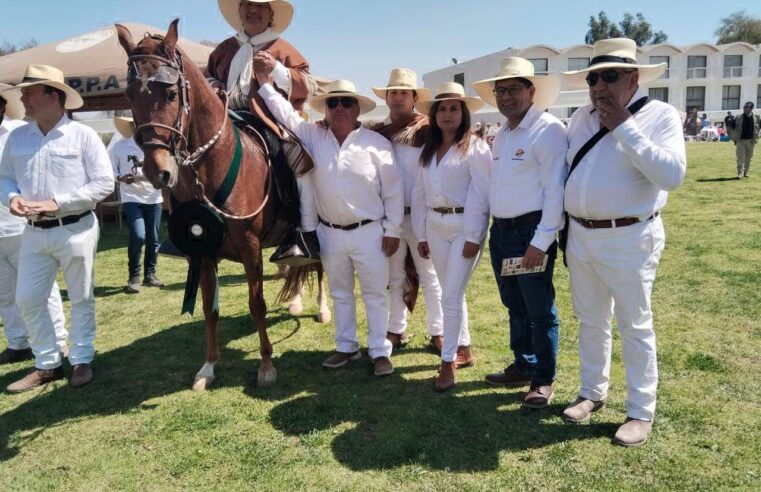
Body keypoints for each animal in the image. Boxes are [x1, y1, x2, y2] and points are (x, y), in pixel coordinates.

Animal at [114, 20, 320, 392]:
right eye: (129, 96)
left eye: (171, 94)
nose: (157, 171)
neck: (212, 167)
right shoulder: (202, 251)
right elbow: (210, 308)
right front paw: (208, 366)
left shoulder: (251, 249)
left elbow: (257, 304)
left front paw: (266, 365)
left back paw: (323, 309)